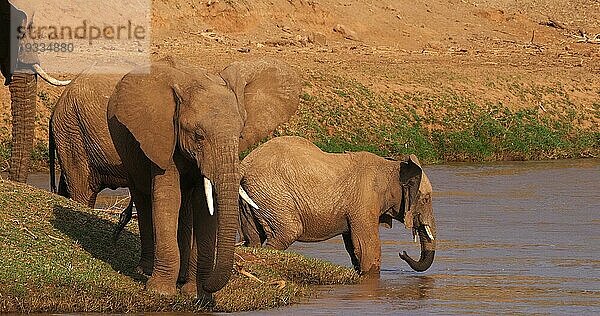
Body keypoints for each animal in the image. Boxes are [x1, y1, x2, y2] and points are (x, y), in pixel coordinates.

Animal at [107, 57, 300, 298]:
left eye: (240, 136)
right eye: (198, 136)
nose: (208, 286)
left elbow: (204, 204)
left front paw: (194, 294)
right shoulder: (164, 138)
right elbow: (167, 198)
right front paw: (161, 292)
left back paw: (179, 277)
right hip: (125, 149)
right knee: (143, 198)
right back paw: (144, 271)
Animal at [238, 137, 436, 276]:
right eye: (426, 199)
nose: (402, 253)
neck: (392, 166)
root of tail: (244, 165)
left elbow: (354, 248)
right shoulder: (364, 202)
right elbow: (368, 249)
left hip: (254, 197)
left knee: (252, 239)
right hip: (272, 193)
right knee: (287, 232)